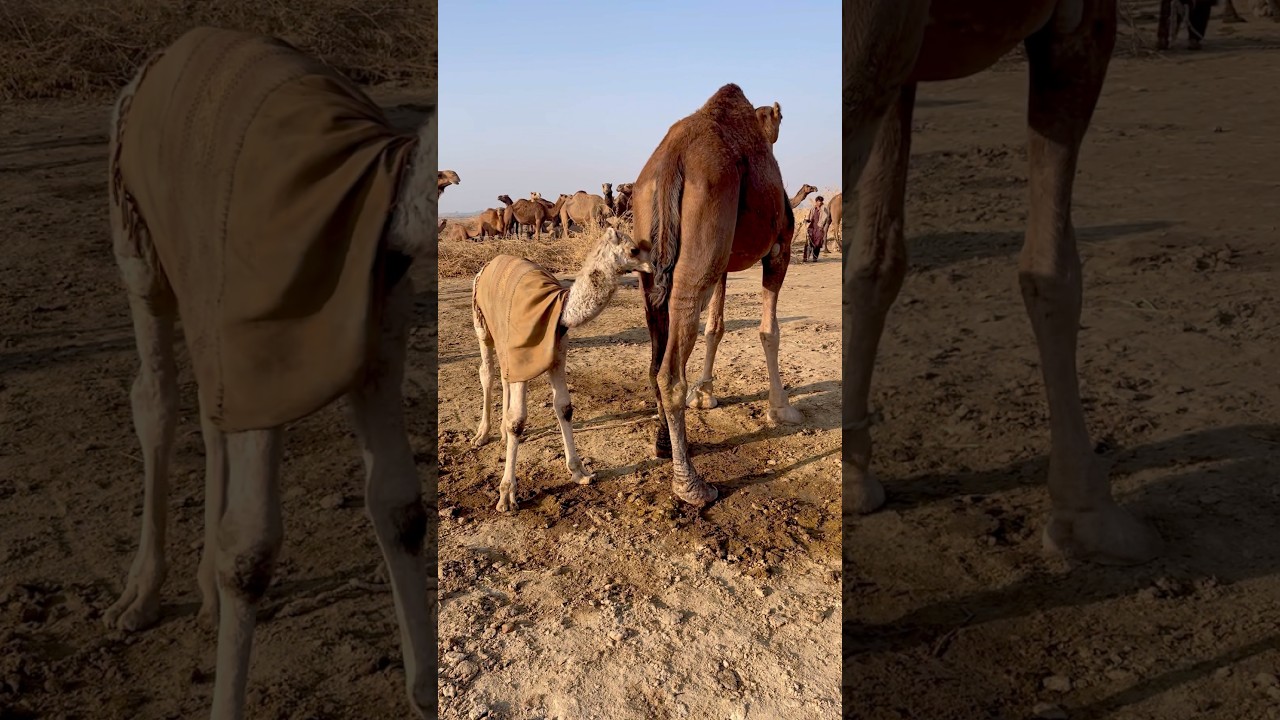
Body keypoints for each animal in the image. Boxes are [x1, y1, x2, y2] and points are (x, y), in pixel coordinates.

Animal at [104, 28, 436, 719]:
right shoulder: (268, 333)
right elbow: (251, 551)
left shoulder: (376, 345)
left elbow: (401, 508)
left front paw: (424, 691)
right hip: (138, 242)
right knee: (155, 396)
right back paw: (138, 600)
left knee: (211, 409)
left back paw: (203, 596)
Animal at [470, 228, 654, 511]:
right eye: (634, 250)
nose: (652, 265)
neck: (559, 308)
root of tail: (486, 265)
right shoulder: (524, 351)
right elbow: (518, 421)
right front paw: (506, 496)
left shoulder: (556, 355)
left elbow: (564, 407)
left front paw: (580, 473)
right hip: (481, 323)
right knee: (487, 373)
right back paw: (481, 435)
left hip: (503, 338)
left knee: (503, 375)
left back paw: (499, 433)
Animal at [633, 84, 801, 507]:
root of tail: (670, 160)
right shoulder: (781, 248)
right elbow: (769, 332)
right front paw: (782, 408)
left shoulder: (724, 261)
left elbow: (716, 327)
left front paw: (706, 394)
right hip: (704, 222)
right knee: (670, 370)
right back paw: (692, 485)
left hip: (650, 255)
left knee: (656, 355)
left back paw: (664, 445)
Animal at [844, 1, 1161, 565]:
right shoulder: (1083, 20)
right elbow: (1053, 272)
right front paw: (1089, 513)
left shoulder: (906, 65)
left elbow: (877, 261)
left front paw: (853, 474)